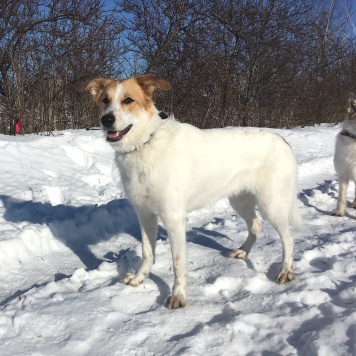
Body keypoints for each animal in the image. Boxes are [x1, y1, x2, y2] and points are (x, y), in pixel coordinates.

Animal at [82, 74, 302, 308]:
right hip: (240, 200)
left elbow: (178, 263)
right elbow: (147, 253)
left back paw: (286, 271)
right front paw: (139, 278)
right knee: (256, 224)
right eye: (105, 100)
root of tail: (282, 140)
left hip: (272, 204)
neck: (144, 145)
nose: (106, 120)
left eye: (128, 100)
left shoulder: (173, 218)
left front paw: (178, 295)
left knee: (288, 238)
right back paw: (243, 251)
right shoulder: (145, 215)